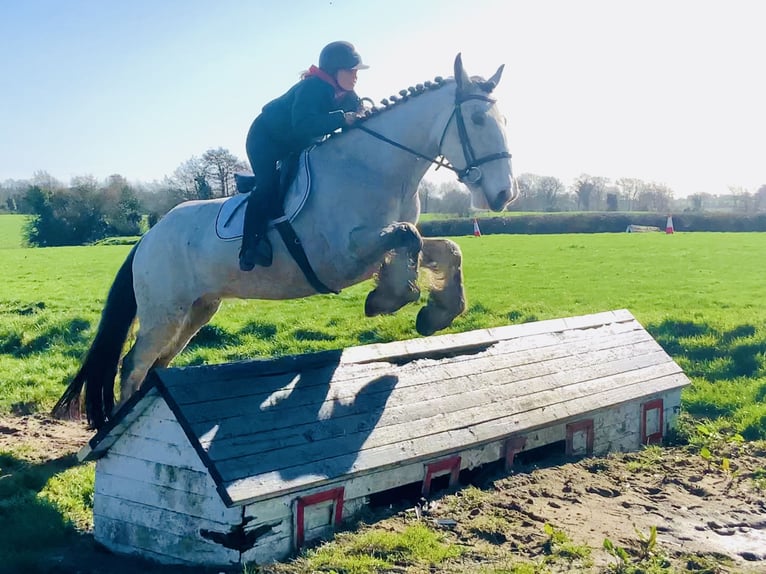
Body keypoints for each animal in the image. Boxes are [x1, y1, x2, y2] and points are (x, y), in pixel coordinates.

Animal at [53, 54, 517, 430]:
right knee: (134, 364)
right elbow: (408, 237)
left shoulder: (378, 244)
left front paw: (439, 311)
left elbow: (441, 247)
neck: (376, 167)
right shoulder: (344, 255)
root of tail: (147, 238)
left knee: (156, 364)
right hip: (164, 311)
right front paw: (390, 297)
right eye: (477, 121)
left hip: (196, 311)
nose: (502, 195)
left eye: (506, 122)